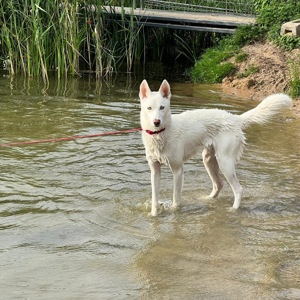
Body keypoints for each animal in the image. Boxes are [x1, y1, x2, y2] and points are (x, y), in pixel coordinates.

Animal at [139, 79, 292, 216]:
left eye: (162, 107)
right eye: (149, 108)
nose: (156, 122)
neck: (161, 134)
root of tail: (235, 119)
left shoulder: (177, 170)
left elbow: (176, 199)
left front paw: (174, 212)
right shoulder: (155, 171)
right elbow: (154, 198)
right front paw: (154, 215)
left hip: (225, 163)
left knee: (238, 189)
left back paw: (233, 210)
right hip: (208, 159)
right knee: (219, 184)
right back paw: (206, 200)